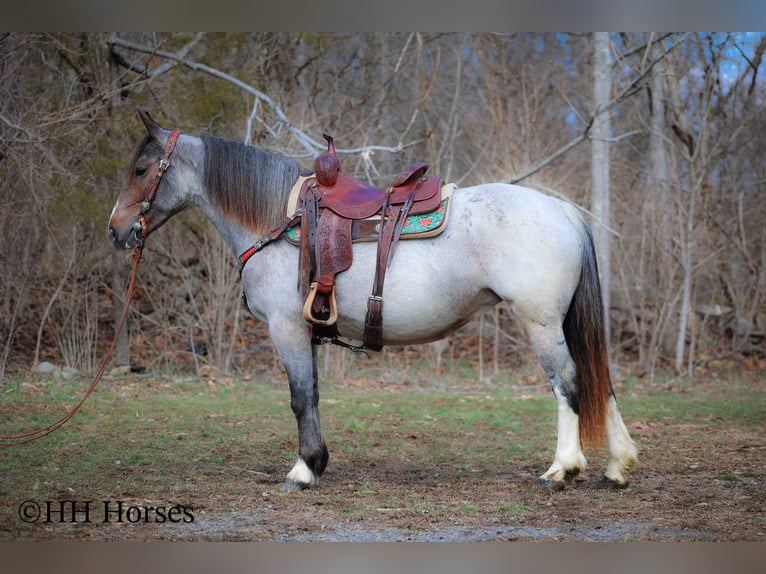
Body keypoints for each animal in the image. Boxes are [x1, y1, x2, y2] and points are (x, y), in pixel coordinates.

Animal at [106, 111, 636, 490]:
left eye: (141, 169)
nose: (116, 230)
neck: (277, 222)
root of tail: (561, 209)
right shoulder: (308, 331)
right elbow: (314, 395)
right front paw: (317, 463)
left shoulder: (287, 328)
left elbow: (300, 397)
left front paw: (304, 470)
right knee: (600, 380)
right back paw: (617, 466)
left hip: (541, 323)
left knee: (569, 383)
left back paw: (563, 469)